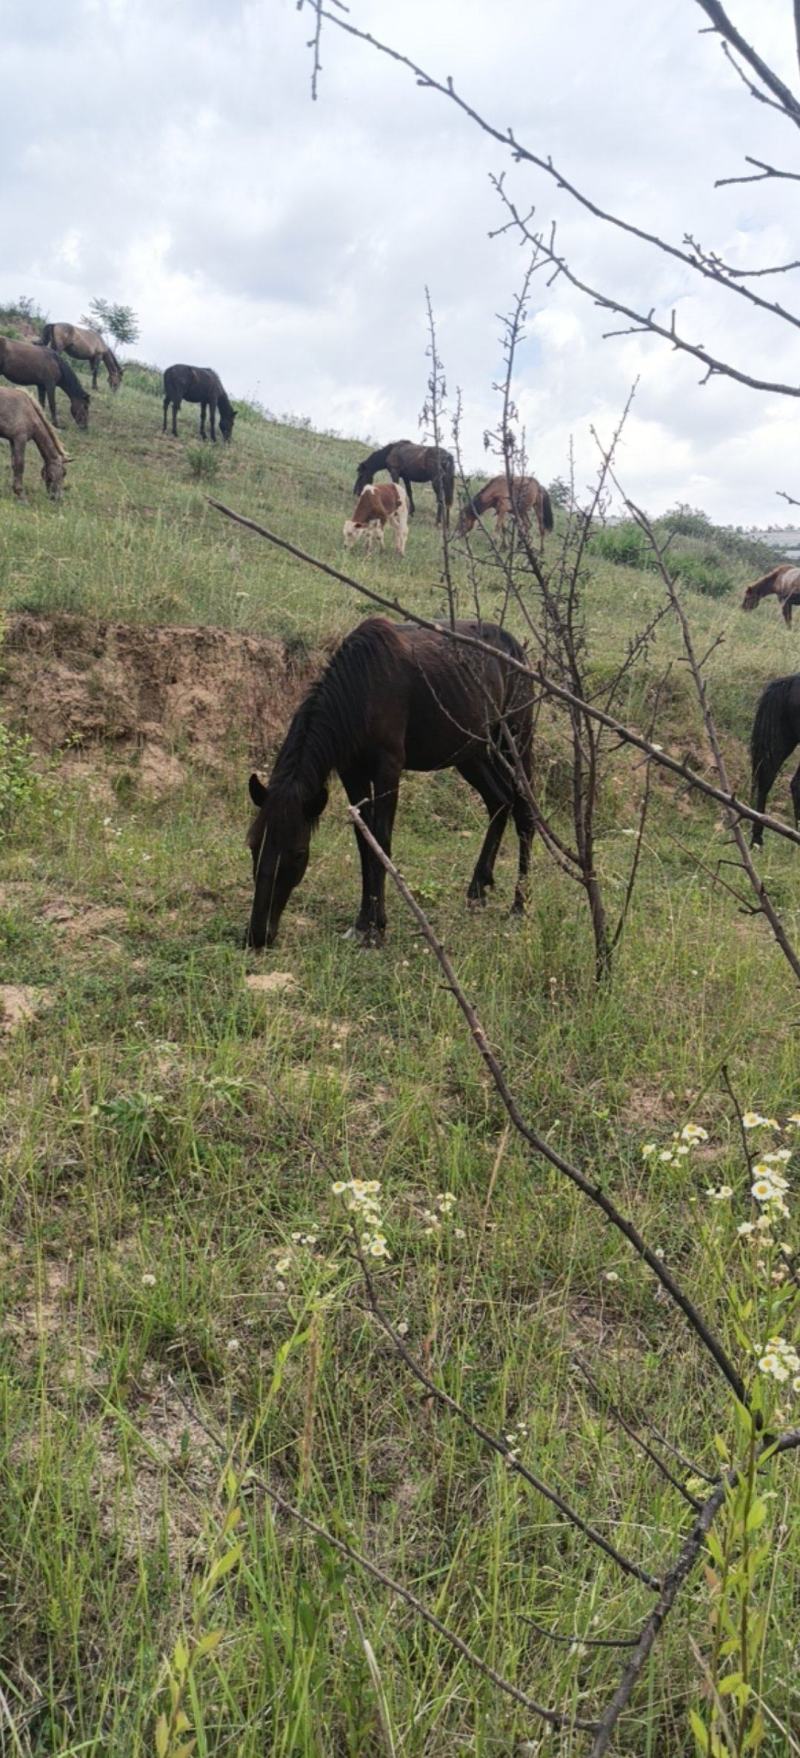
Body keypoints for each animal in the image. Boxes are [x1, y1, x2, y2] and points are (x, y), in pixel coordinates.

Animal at [245, 616, 535, 949]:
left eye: (298, 854)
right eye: (253, 845)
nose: (258, 935)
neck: (363, 686)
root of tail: (516, 649)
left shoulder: (388, 769)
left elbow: (382, 841)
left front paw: (376, 929)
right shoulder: (352, 772)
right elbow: (365, 841)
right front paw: (362, 923)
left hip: (515, 742)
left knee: (525, 815)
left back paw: (519, 905)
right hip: (472, 753)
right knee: (499, 802)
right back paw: (478, 890)